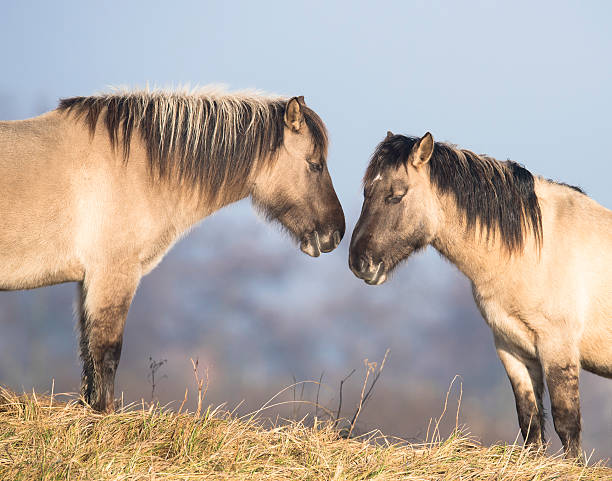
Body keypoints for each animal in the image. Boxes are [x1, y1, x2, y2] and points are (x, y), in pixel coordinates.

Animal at [0, 89, 344, 412]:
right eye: (315, 164)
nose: (335, 234)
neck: (134, 168)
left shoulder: (89, 281)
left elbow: (88, 354)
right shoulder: (113, 275)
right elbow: (106, 352)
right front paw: (104, 413)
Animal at [350, 130, 612, 458]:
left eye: (396, 195)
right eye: (366, 193)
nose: (359, 263)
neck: (535, 249)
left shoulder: (558, 348)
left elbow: (567, 424)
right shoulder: (512, 348)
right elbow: (530, 422)